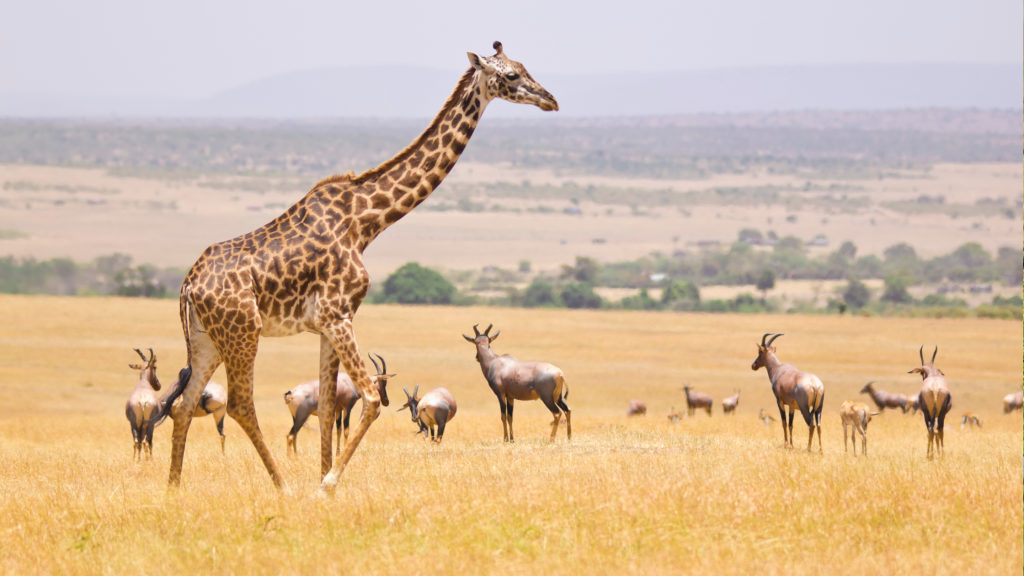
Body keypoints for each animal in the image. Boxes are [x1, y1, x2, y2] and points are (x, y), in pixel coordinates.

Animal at [161, 41, 561, 494]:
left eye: (524, 66)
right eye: (511, 75)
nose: (550, 99)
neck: (365, 222)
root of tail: (188, 285)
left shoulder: (325, 323)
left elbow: (329, 403)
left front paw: (323, 478)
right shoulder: (339, 315)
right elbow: (369, 397)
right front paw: (326, 484)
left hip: (206, 339)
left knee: (184, 405)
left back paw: (174, 489)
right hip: (243, 332)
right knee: (241, 404)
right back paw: (282, 487)